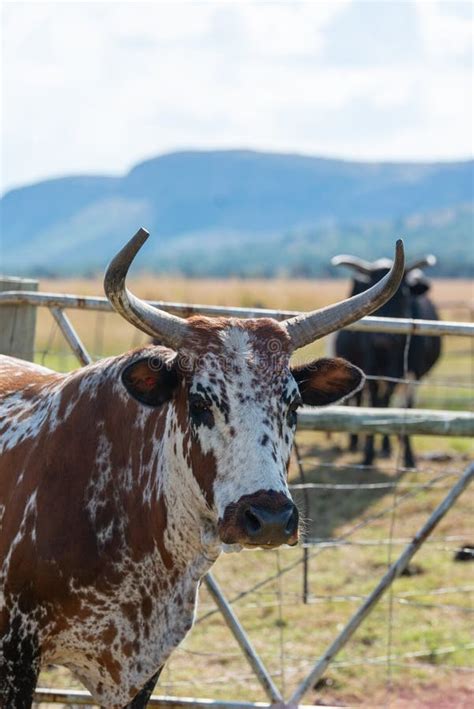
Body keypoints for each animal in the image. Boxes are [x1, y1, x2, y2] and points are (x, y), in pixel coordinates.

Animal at [334, 252, 440, 468]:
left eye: (404, 294)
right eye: (371, 291)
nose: (382, 339)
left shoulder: (412, 375)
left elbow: (404, 409)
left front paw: (408, 457)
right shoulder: (371, 371)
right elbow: (375, 406)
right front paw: (368, 455)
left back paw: (385, 447)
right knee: (361, 400)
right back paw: (355, 442)